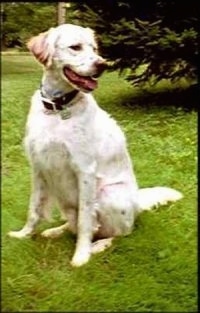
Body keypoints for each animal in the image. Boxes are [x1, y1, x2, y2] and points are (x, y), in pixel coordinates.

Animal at [7, 23, 183, 266]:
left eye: (95, 48)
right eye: (75, 47)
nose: (102, 64)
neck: (58, 109)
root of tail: (137, 204)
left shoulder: (84, 170)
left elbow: (85, 221)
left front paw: (81, 256)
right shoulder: (38, 167)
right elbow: (34, 209)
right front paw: (23, 234)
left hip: (109, 195)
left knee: (119, 234)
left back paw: (98, 246)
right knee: (74, 224)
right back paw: (56, 231)